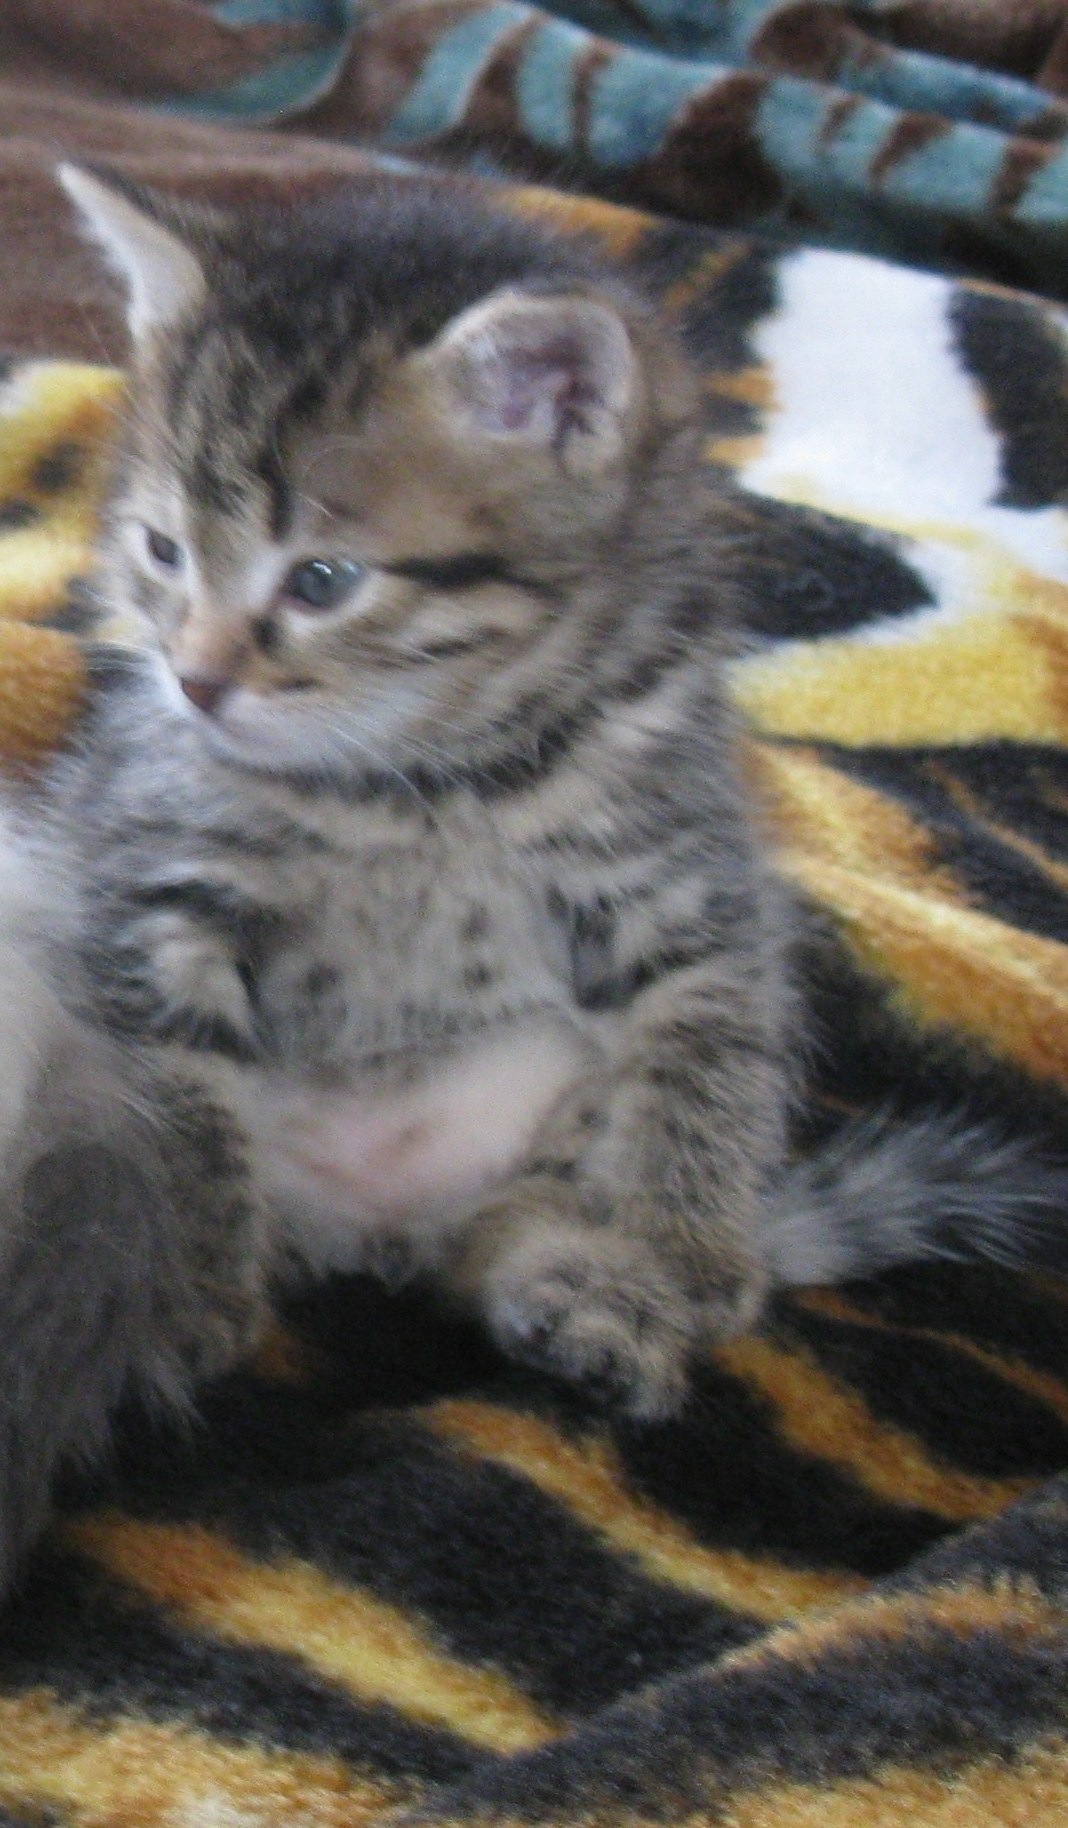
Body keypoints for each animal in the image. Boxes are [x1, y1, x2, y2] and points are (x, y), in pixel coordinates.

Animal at [0, 163, 1058, 1595]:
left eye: (323, 580)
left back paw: (579, 1292)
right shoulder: (147, 875)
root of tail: (372, 1220)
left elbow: (710, 1064)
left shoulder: (687, 880)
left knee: (516, 1214)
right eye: (164, 551)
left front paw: (684, 1259)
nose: (197, 677)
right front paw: (190, 1287)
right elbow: (182, 1104)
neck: (432, 774)